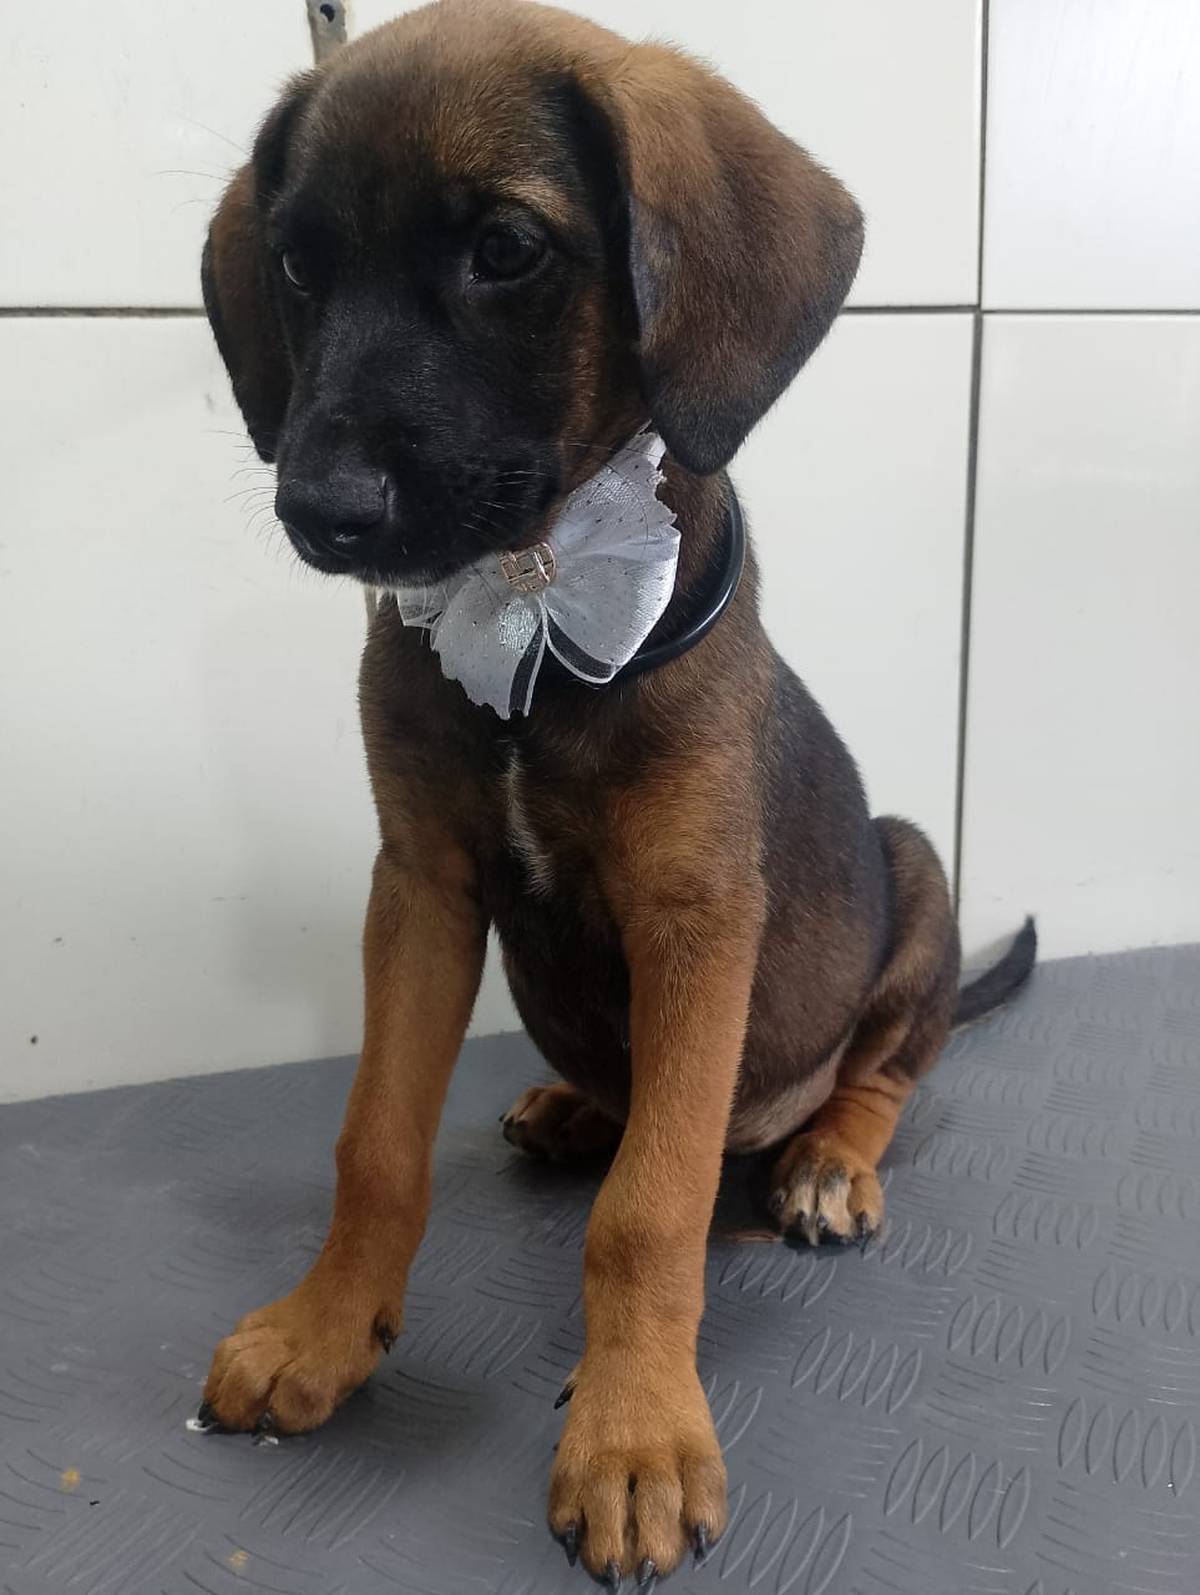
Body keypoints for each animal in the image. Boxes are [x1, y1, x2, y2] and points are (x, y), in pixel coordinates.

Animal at [197, 0, 1035, 1582]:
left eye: (506, 249)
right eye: (298, 264)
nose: (318, 510)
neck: (534, 605)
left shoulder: (695, 916)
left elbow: (650, 1213)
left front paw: (636, 1431)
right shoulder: (422, 884)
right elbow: (373, 1140)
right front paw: (326, 1326)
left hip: (910, 866)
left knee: (885, 1069)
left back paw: (825, 1157)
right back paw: (576, 1105)